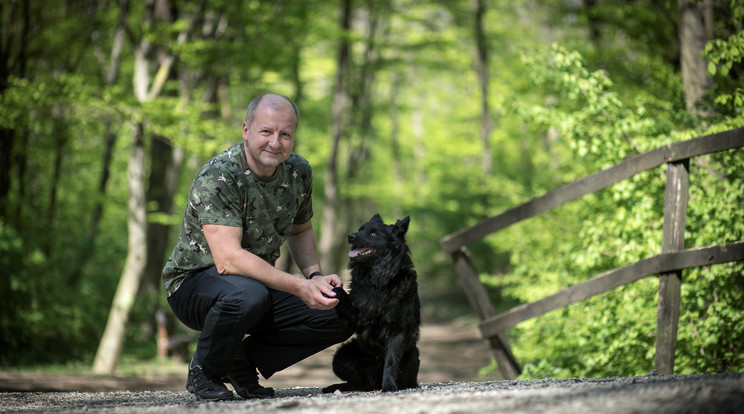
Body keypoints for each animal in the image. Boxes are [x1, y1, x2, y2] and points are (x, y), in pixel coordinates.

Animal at [322, 215, 422, 392]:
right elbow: (343, 296)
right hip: (340, 358)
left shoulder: (397, 330)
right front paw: (334, 289)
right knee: (355, 383)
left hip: (413, 355)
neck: (377, 279)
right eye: (360, 229)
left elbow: (390, 363)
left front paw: (389, 386)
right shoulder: (356, 312)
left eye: (374, 234)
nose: (350, 236)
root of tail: (372, 383)